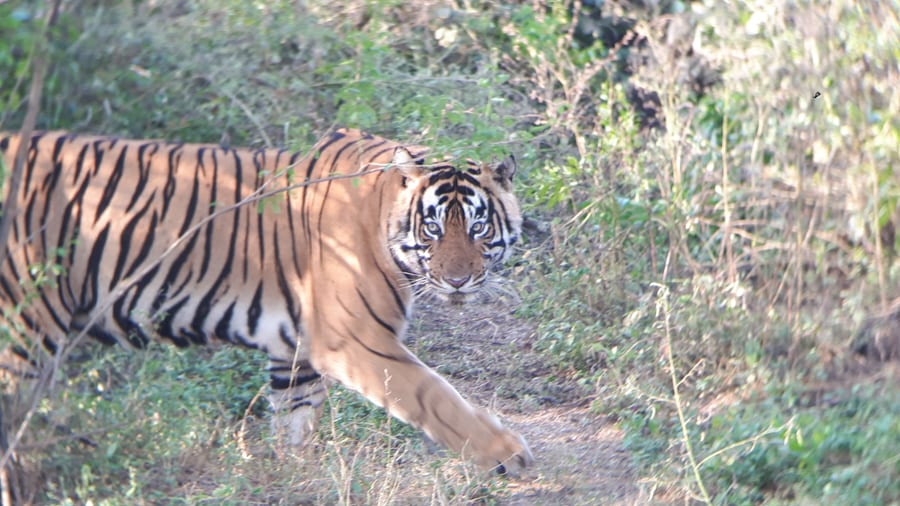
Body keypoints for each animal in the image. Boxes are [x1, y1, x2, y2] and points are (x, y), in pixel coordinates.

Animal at [0, 128, 533, 472]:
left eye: (478, 227)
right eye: (434, 227)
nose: (458, 281)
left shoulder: (295, 350)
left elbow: (294, 422)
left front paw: (297, 478)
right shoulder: (354, 340)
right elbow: (435, 396)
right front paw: (506, 453)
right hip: (25, 326)